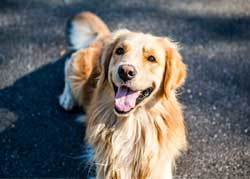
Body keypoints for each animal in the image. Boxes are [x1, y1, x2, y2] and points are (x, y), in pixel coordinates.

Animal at [59, 11, 188, 178]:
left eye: (152, 58)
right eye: (119, 50)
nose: (126, 71)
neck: (132, 123)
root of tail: (106, 35)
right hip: (80, 72)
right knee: (68, 62)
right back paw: (67, 98)